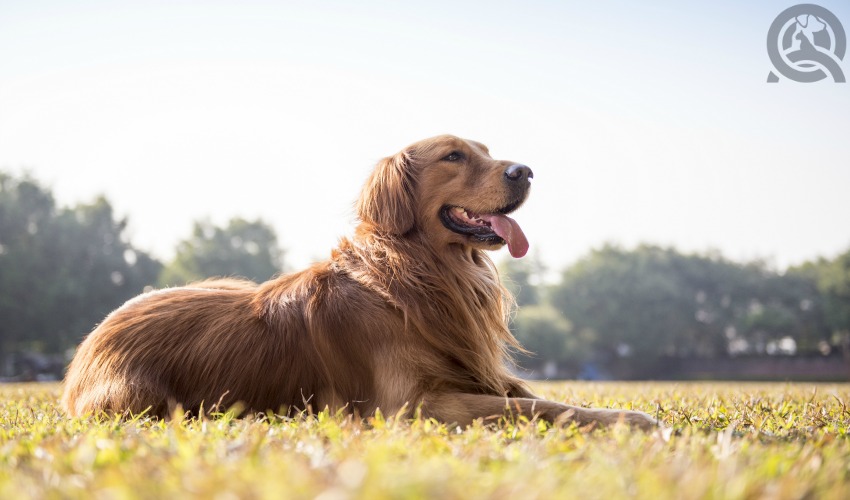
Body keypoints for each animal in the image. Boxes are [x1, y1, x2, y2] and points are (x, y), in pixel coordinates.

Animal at [63, 134, 656, 430]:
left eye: (488, 153)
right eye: (454, 156)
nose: (526, 171)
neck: (421, 275)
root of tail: (87, 347)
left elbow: (539, 396)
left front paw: (623, 413)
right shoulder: (412, 406)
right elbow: (536, 407)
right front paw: (633, 418)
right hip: (142, 399)